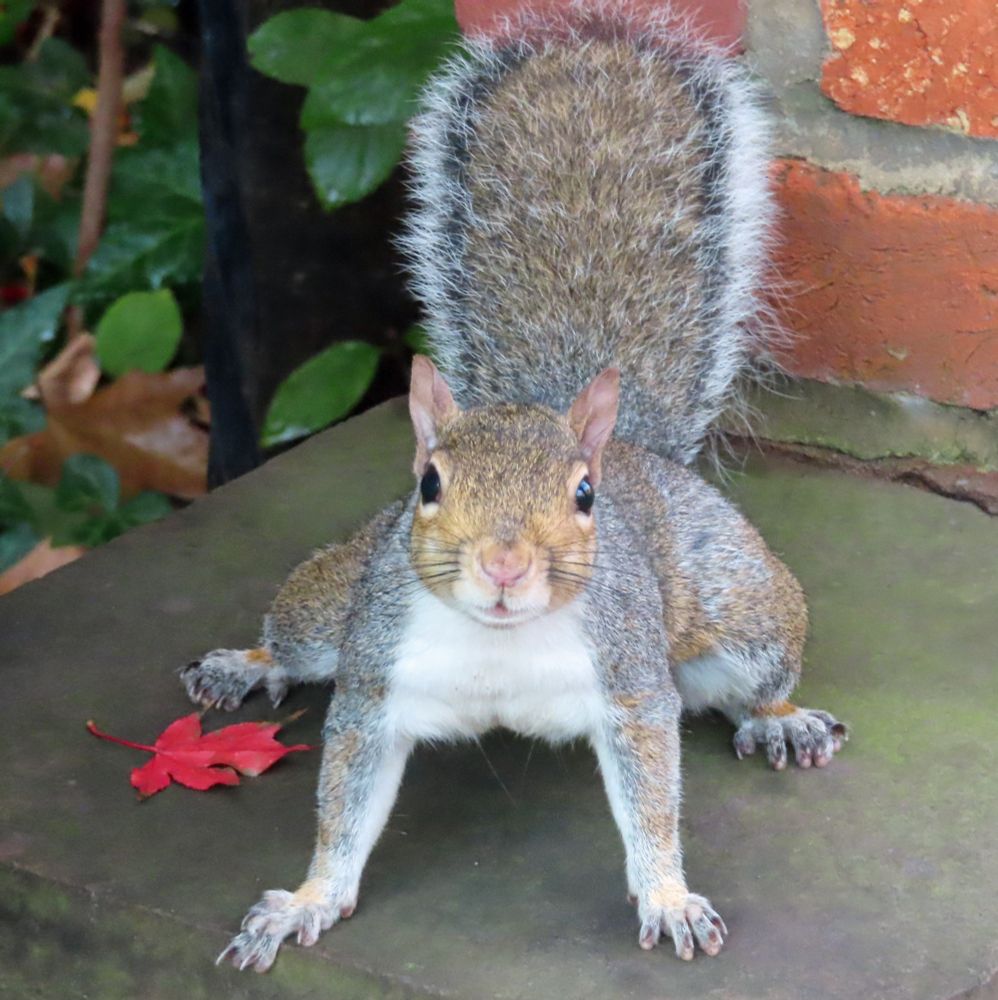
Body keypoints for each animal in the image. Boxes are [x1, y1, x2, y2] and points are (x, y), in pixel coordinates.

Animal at [180, 0, 847, 972]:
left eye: (583, 496)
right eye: (427, 482)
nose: (502, 566)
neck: (497, 642)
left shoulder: (631, 680)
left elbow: (652, 797)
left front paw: (669, 896)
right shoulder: (376, 681)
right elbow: (344, 807)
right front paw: (307, 900)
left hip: (745, 611)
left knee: (749, 681)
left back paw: (779, 718)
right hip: (332, 602)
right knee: (295, 643)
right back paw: (244, 664)